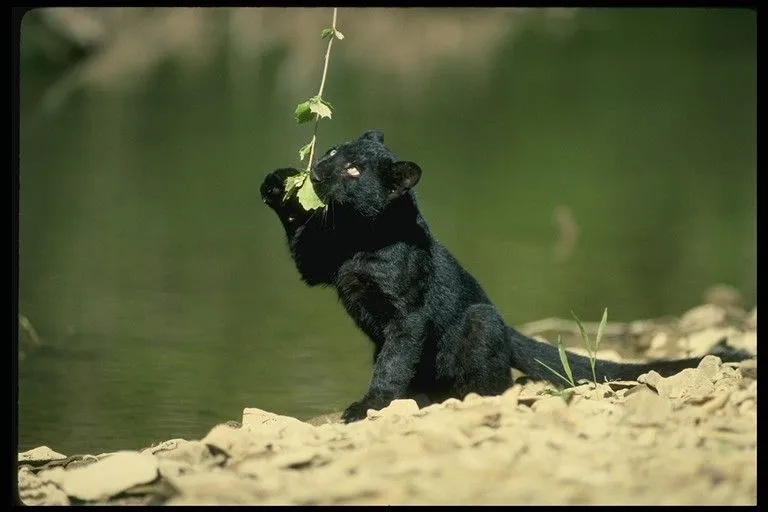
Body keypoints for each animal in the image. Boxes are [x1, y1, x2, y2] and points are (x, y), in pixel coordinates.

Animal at [260, 130, 752, 422]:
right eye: (331, 152)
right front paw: (278, 183)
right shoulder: (321, 267)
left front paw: (370, 406)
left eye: (354, 170)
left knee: (491, 385)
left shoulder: (405, 317)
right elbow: (298, 238)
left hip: (479, 320)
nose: (318, 170)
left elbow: (394, 363)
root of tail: (507, 324)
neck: (356, 237)